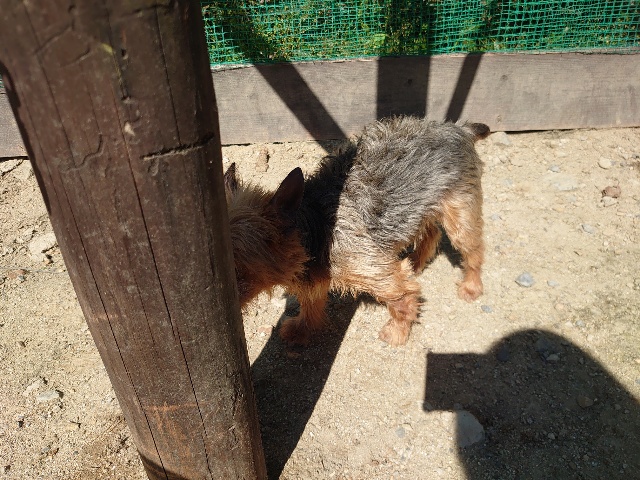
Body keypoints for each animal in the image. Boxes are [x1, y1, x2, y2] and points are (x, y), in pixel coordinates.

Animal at [224, 116, 489, 346]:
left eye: (236, 269)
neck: (316, 227)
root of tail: (457, 128)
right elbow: (310, 301)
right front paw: (302, 329)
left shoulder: (377, 272)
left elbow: (402, 300)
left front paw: (397, 333)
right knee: (431, 233)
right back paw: (416, 262)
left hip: (460, 211)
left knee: (473, 249)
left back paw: (471, 286)